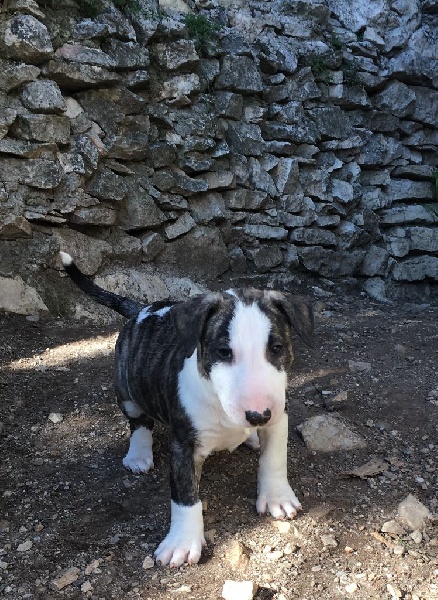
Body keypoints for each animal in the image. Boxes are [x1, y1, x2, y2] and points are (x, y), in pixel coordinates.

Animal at [60, 251, 314, 567]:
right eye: (223, 352)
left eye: (277, 348)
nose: (258, 415)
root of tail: (142, 310)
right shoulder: (184, 442)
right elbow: (184, 495)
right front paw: (182, 543)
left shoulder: (279, 416)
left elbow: (275, 458)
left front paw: (277, 497)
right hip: (126, 388)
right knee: (138, 423)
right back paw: (138, 455)